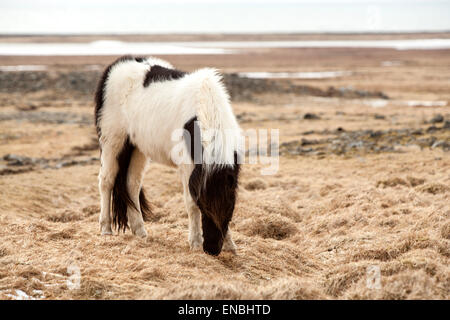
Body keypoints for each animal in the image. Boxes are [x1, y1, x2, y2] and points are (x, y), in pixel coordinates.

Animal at [95, 55, 243, 255]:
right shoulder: (189, 168)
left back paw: (140, 231)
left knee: (131, 184)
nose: (212, 249)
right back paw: (106, 229)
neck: (203, 107)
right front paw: (195, 244)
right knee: (107, 181)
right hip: (113, 142)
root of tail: (115, 66)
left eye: (229, 204)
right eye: (203, 204)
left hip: (137, 148)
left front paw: (230, 246)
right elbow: (191, 204)